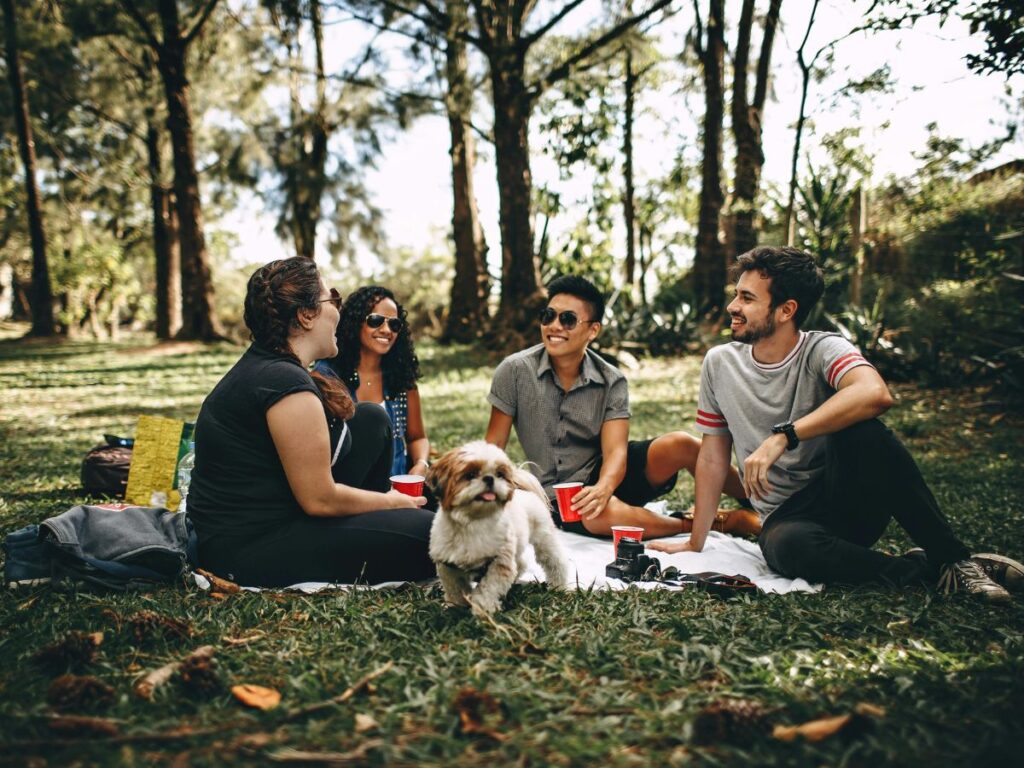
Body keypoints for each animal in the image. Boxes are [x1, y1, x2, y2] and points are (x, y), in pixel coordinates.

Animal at [423, 442, 569, 618]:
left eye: (499, 474)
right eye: (470, 474)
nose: (489, 478)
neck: (473, 522)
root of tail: (524, 490)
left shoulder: (500, 562)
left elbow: (488, 588)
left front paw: (482, 609)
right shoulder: (448, 565)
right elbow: (455, 588)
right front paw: (455, 606)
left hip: (544, 539)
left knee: (556, 562)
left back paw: (559, 586)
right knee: (520, 563)